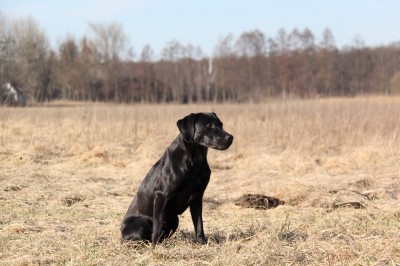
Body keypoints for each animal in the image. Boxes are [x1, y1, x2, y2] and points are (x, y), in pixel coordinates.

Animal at [122, 112, 234, 245]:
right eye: (209, 125)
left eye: (221, 125)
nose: (230, 137)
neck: (195, 160)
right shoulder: (161, 195)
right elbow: (157, 227)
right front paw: (155, 247)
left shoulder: (198, 197)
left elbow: (199, 224)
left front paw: (202, 242)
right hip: (142, 223)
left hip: (174, 219)